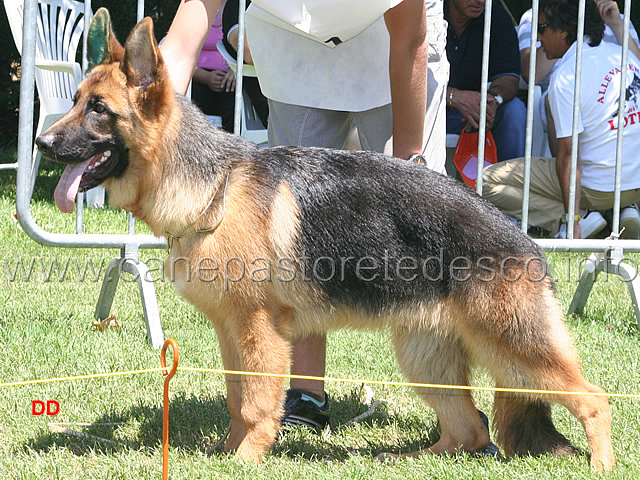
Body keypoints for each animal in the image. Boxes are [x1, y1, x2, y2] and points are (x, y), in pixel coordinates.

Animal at [36, 8, 616, 472]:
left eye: (98, 109)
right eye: (75, 100)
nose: (41, 143)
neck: (212, 187)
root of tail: (524, 240)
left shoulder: (260, 331)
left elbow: (257, 402)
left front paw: (246, 461)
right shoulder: (231, 332)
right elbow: (235, 396)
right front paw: (226, 452)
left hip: (515, 350)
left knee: (592, 398)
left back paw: (601, 465)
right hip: (427, 360)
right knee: (469, 429)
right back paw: (404, 459)